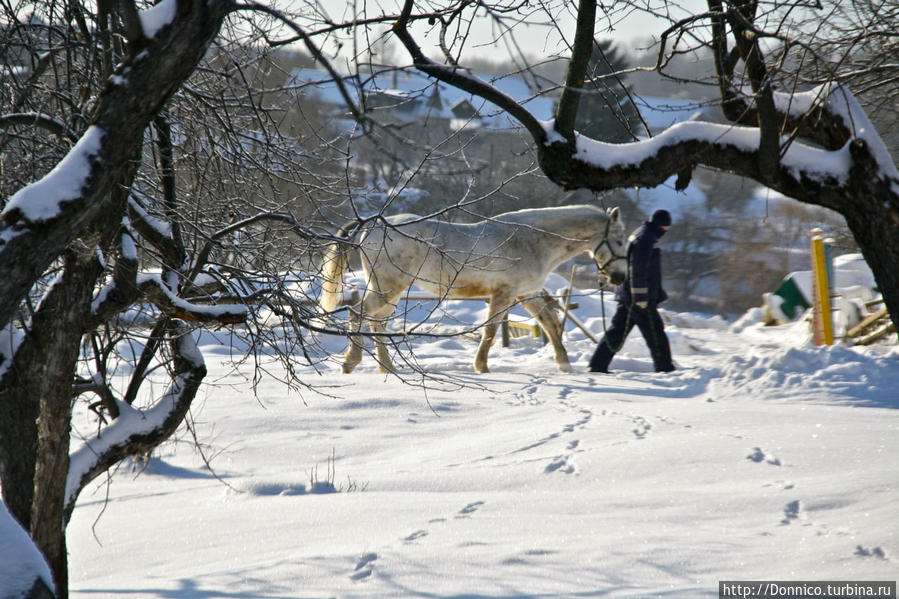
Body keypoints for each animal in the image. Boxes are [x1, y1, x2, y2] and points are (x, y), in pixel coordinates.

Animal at [322, 206, 624, 376]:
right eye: (620, 240)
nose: (619, 277)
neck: (530, 241)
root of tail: (372, 225)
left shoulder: (528, 294)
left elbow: (549, 324)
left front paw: (564, 364)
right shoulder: (504, 294)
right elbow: (490, 330)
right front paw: (481, 367)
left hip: (391, 290)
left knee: (377, 322)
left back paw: (386, 367)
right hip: (388, 286)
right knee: (358, 312)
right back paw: (351, 363)